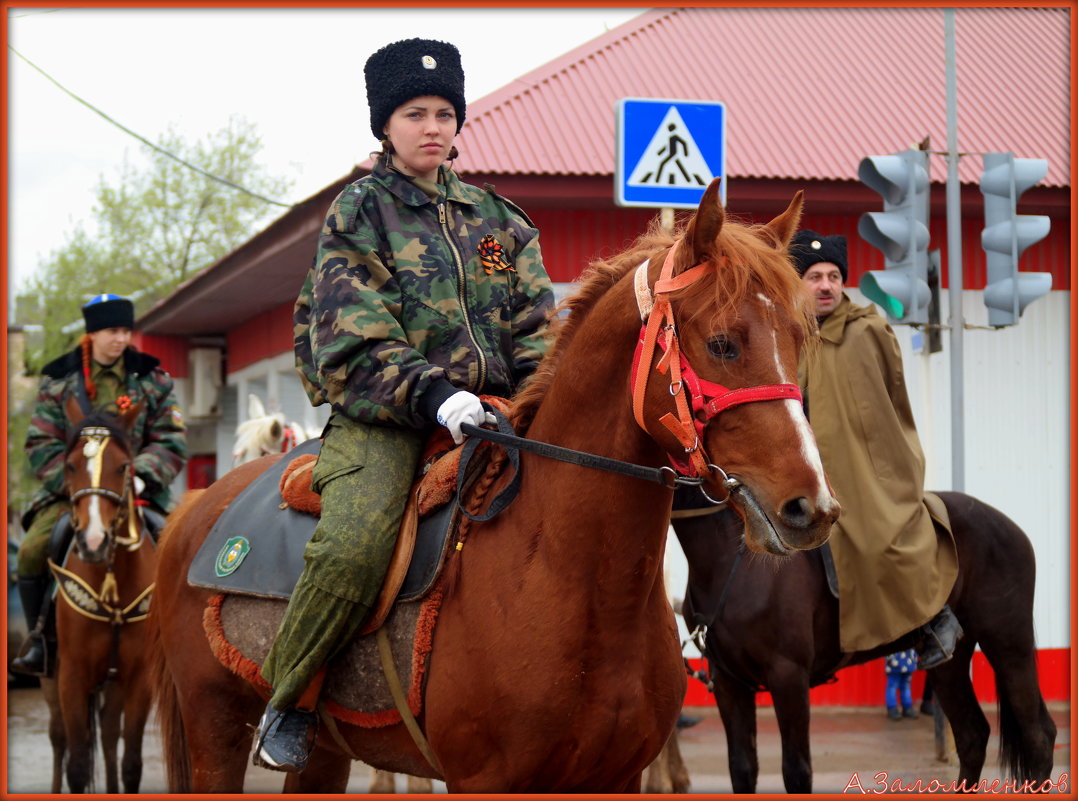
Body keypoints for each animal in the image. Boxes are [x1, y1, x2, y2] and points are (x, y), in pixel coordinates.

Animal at [42, 398, 157, 793]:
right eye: (70, 465)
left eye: (123, 467)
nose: (93, 542)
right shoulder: (72, 676)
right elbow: (77, 764)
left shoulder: (139, 679)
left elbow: (132, 763)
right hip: (51, 678)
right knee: (58, 737)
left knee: (108, 735)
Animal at [149, 183, 840, 797]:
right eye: (723, 342)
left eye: (800, 339)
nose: (811, 507)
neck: (571, 578)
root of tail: (199, 509)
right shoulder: (484, 779)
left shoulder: (613, 778)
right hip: (215, 728)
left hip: (323, 753)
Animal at [676, 495, 1056, 797]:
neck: (735, 562)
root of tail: (1007, 526)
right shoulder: (729, 684)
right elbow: (742, 768)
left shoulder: (788, 677)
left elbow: (796, 773)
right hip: (949, 663)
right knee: (972, 735)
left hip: (1009, 643)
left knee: (1038, 735)